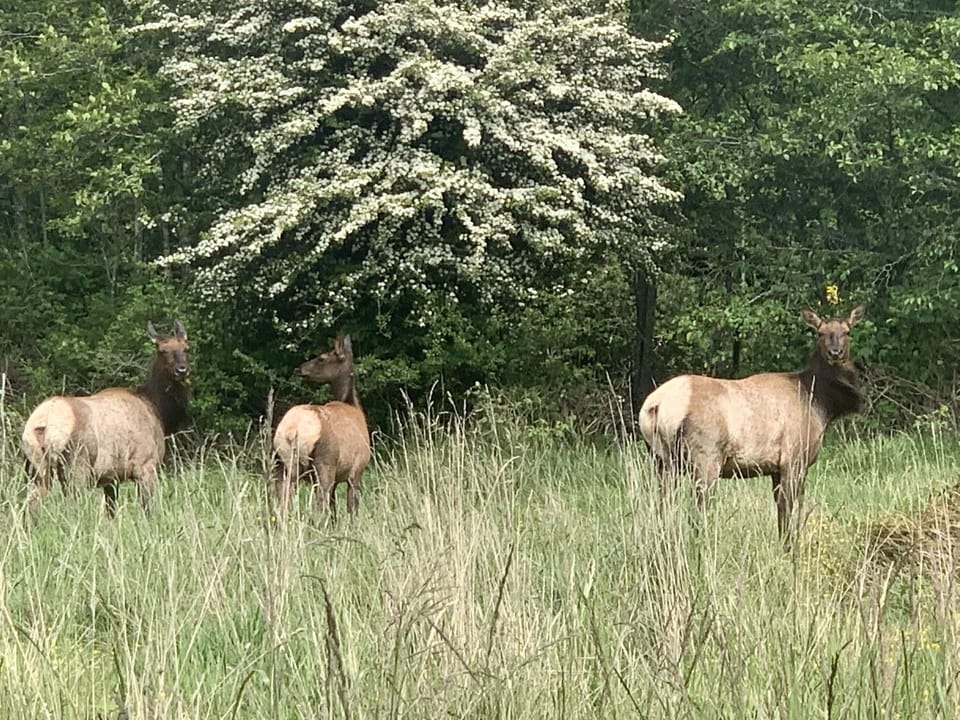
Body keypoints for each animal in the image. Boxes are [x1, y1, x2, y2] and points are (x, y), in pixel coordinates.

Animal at [22, 320, 191, 516]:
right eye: (162, 350)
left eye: (186, 348)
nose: (181, 370)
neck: (159, 411)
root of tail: (42, 425)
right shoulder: (146, 465)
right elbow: (148, 509)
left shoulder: (111, 478)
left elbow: (111, 511)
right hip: (76, 466)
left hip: (36, 470)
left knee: (30, 508)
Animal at [273, 334, 370, 518]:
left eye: (322, 358)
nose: (298, 369)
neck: (353, 404)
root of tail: (292, 431)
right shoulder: (357, 471)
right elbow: (351, 509)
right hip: (325, 464)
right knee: (320, 507)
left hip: (282, 464)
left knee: (282, 505)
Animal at [639, 305, 865, 546]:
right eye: (820, 333)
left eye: (847, 331)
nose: (835, 353)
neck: (821, 404)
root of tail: (655, 406)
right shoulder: (794, 458)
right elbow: (787, 510)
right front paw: (789, 547)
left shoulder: (777, 467)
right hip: (705, 455)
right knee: (697, 511)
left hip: (661, 460)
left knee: (662, 507)